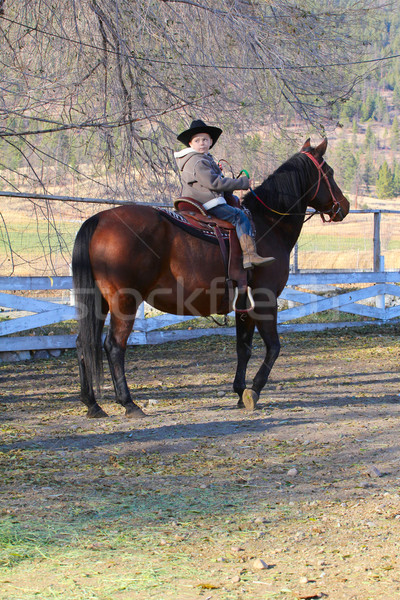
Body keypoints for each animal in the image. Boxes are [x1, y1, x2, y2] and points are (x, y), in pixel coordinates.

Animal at [72, 139, 350, 418]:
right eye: (330, 173)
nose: (344, 206)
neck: (267, 226)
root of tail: (99, 219)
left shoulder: (244, 304)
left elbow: (244, 347)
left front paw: (239, 391)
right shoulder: (264, 300)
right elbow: (273, 347)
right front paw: (253, 391)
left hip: (99, 302)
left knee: (84, 343)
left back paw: (92, 403)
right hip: (124, 302)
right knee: (114, 346)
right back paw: (129, 403)